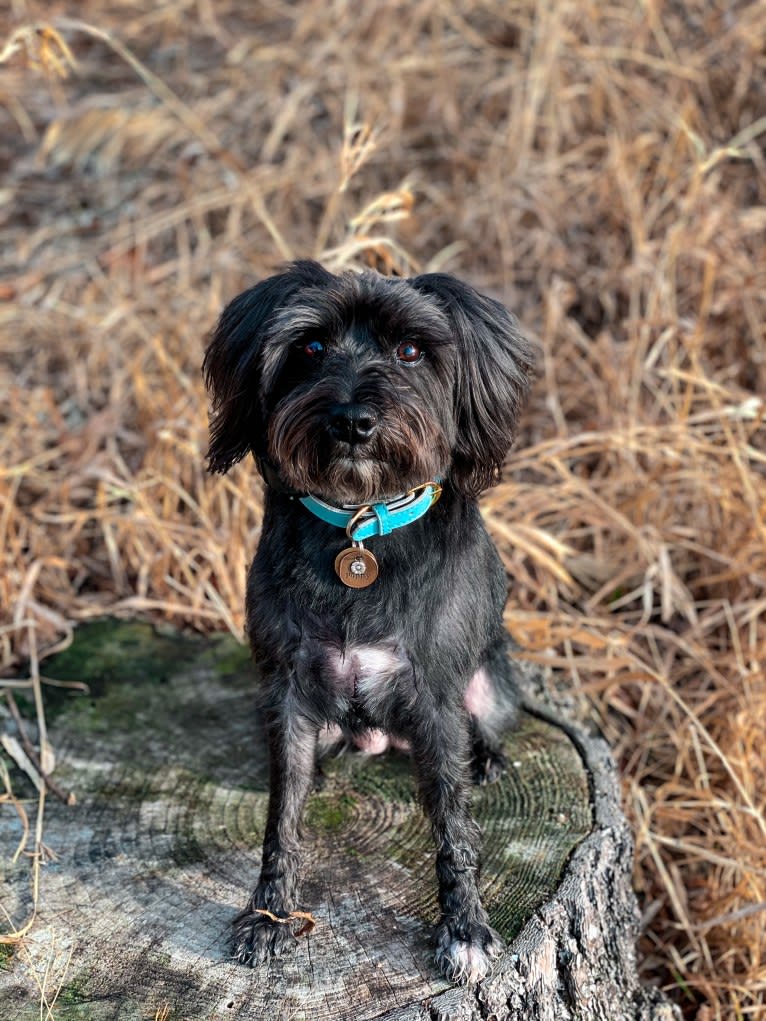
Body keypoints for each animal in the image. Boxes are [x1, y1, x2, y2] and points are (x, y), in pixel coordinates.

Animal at [205, 259, 539, 984]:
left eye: (411, 350)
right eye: (310, 347)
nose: (352, 420)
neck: (359, 524)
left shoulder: (435, 699)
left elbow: (453, 826)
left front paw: (465, 928)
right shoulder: (287, 693)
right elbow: (281, 818)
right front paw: (268, 915)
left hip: (493, 684)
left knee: (485, 729)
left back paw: (487, 758)